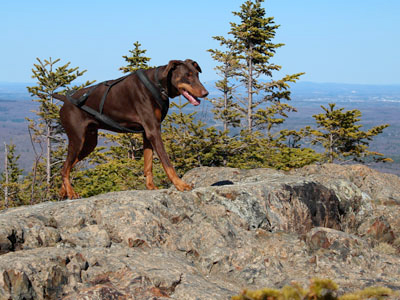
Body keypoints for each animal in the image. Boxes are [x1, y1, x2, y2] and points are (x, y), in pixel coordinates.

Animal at [53, 59, 209, 199]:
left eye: (197, 74)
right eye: (187, 75)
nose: (205, 93)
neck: (157, 84)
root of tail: (65, 100)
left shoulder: (147, 132)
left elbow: (148, 164)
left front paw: (150, 187)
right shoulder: (154, 131)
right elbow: (167, 163)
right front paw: (180, 184)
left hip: (89, 143)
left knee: (66, 167)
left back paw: (63, 192)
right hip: (78, 139)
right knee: (65, 168)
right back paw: (71, 193)